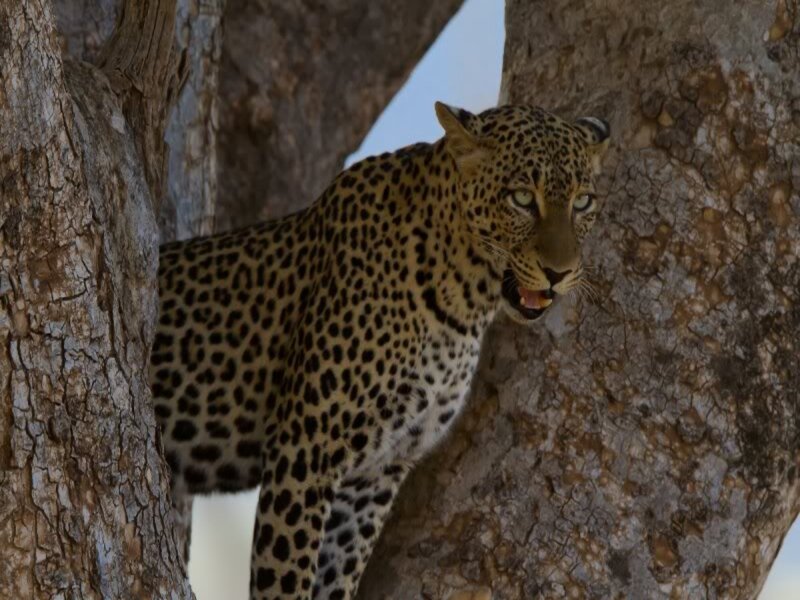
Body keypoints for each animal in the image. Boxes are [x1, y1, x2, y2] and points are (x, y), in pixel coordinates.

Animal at [150, 102, 611, 599]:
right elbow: (287, 574)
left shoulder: (377, 472)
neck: (465, 303)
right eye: (522, 199)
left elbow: (337, 572)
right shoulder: (304, 450)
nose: (558, 272)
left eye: (582, 202)